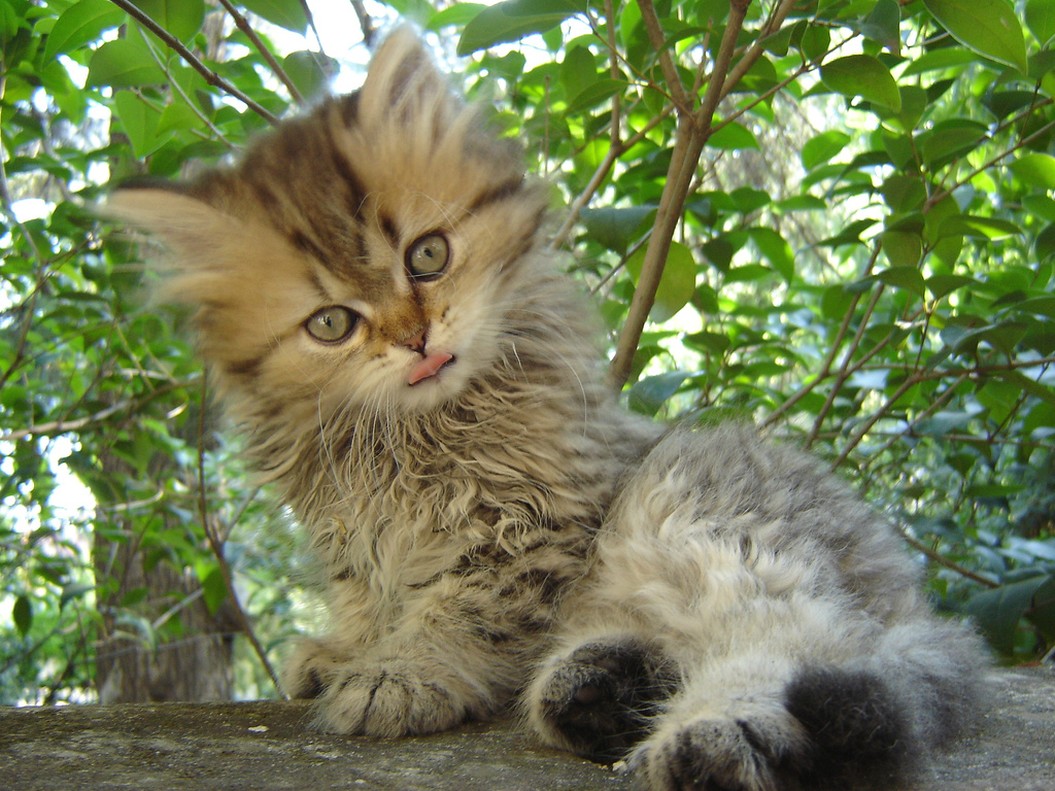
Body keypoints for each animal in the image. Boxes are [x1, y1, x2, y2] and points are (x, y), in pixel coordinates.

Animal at [104, 27, 979, 791]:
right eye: (331, 324)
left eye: (427, 255)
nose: (416, 340)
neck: (404, 436)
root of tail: (896, 573)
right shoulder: (350, 533)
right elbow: (369, 597)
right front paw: (346, 651)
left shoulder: (527, 528)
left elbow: (463, 612)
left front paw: (402, 673)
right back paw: (600, 690)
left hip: (698, 514)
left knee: (799, 641)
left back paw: (710, 738)